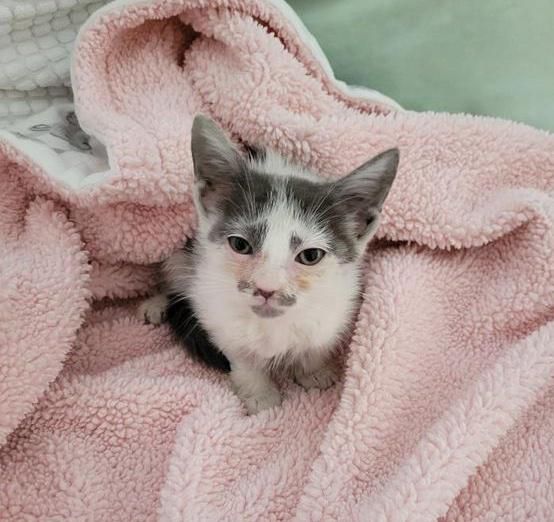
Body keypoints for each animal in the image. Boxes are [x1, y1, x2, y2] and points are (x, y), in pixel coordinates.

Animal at [137, 115, 396, 414]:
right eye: (240, 245)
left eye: (310, 256)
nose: (266, 289)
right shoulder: (213, 306)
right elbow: (240, 354)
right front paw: (261, 397)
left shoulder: (337, 305)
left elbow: (316, 342)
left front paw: (314, 371)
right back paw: (155, 303)